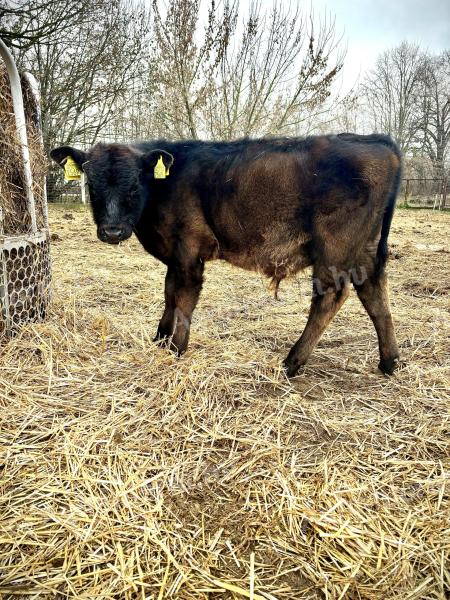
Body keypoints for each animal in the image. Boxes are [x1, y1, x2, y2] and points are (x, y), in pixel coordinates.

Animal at [51, 135, 402, 376]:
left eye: (136, 184)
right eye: (92, 185)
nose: (112, 231)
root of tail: (377, 141)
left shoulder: (189, 250)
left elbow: (183, 299)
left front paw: (176, 348)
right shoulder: (175, 257)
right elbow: (168, 294)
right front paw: (160, 340)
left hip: (334, 248)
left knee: (331, 296)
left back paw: (292, 363)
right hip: (365, 249)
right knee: (374, 293)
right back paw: (390, 362)